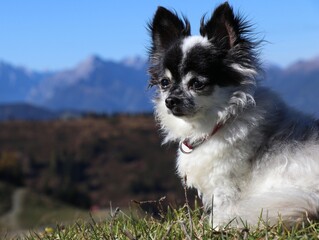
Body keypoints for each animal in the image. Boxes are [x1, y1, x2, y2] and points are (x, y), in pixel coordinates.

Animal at [148, 2, 319, 227]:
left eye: (197, 83)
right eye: (164, 83)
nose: (170, 101)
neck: (217, 124)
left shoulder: (225, 186)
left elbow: (221, 211)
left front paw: (215, 227)